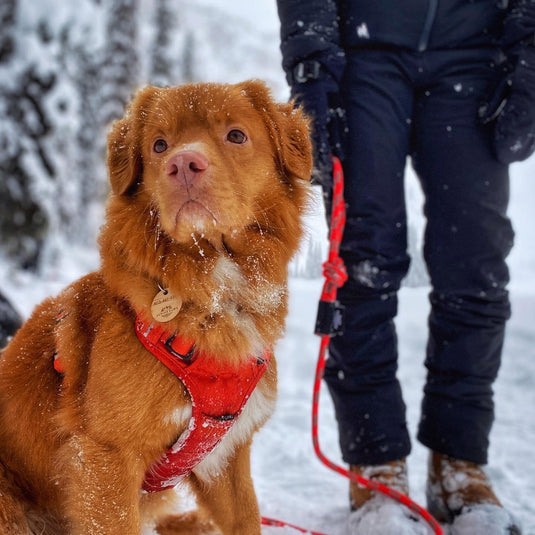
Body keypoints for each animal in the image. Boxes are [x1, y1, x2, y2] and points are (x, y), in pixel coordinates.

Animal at [0, 80, 312, 535]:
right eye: (160, 145)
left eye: (236, 135)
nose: (182, 164)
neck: (212, 297)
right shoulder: (106, 458)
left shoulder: (226, 458)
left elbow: (246, 519)